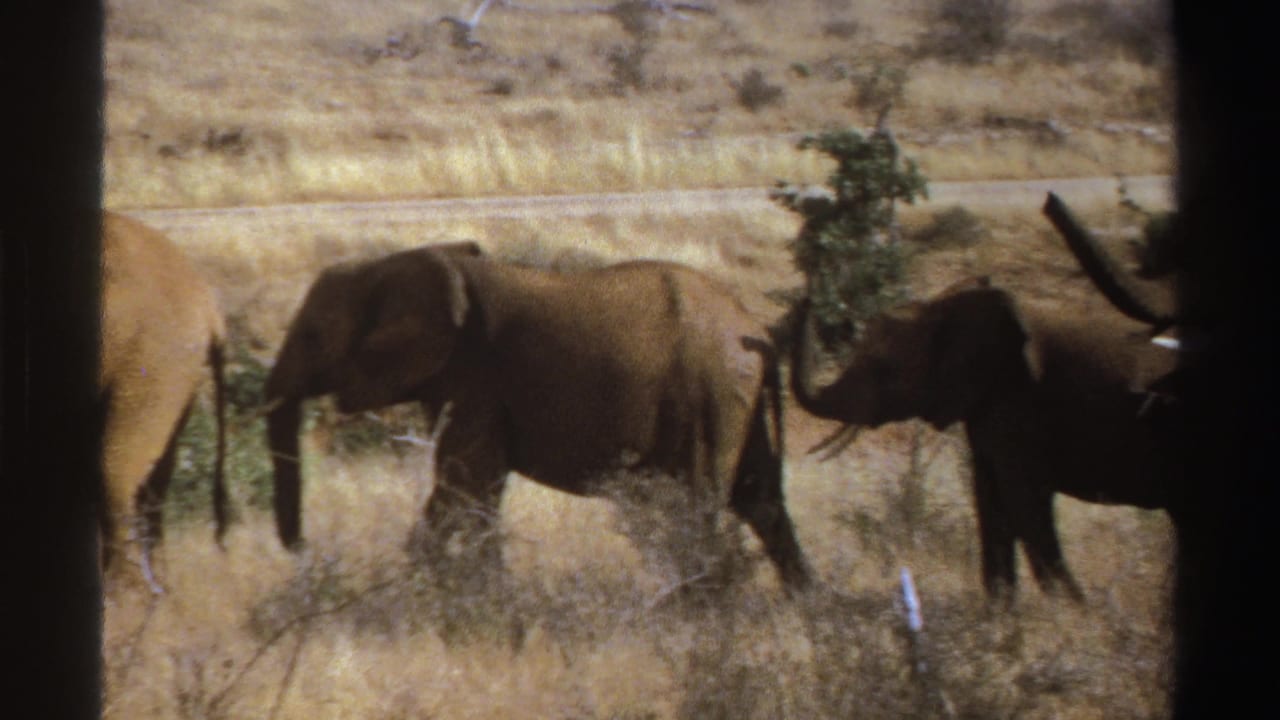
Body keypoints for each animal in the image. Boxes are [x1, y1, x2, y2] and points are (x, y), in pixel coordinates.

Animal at [263, 244, 813, 594]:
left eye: (312, 335)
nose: (302, 551)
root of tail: (756, 330)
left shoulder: (475, 377)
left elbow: (463, 484)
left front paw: (451, 596)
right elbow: (478, 492)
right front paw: (482, 594)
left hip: (709, 395)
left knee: (699, 505)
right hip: (734, 401)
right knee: (761, 501)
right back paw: (805, 608)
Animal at [789, 275, 1181, 602]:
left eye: (883, 367)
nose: (806, 298)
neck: (942, 308)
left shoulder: (1018, 403)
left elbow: (1023, 502)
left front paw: (1076, 616)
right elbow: (991, 502)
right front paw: (1001, 621)